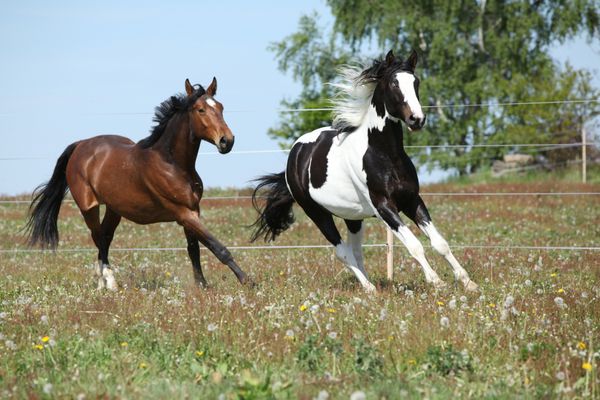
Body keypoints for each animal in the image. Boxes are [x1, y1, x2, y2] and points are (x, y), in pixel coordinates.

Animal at [25, 78, 251, 290]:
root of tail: (81, 145)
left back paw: (102, 283)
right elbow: (217, 247)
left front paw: (202, 285)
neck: (173, 164)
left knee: (105, 237)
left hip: (114, 209)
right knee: (98, 237)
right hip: (88, 207)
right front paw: (247, 281)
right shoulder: (182, 212)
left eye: (221, 107)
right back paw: (109, 281)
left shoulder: (193, 209)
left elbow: (194, 248)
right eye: (201, 109)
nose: (227, 141)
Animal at [252, 50, 478, 294]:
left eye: (416, 82)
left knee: (356, 251)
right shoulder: (384, 207)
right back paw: (369, 288)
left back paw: (372, 286)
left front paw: (468, 282)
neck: (385, 155)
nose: (417, 119)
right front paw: (437, 281)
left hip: (353, 217)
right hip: (317, 213)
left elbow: (440, 242)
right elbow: (415, 245)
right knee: (342, 251)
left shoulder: (412, 200)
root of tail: (295, 154)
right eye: (394, 83)